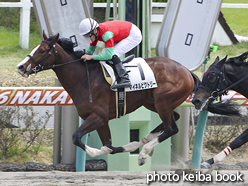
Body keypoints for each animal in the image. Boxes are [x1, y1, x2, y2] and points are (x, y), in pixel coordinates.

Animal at [16, 32, 200, 166]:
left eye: (41, 50)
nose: (21, 67)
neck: (85, 79)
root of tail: (186, 70)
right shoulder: (101, 120)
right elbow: (109, 146)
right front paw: (132, 145)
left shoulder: (98, 116)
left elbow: (78, 138)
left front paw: (99, 152)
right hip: (153, 102)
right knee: (174, 118)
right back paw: (146, 140)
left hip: (163, 102)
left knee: (172, 129)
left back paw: (143, 152)